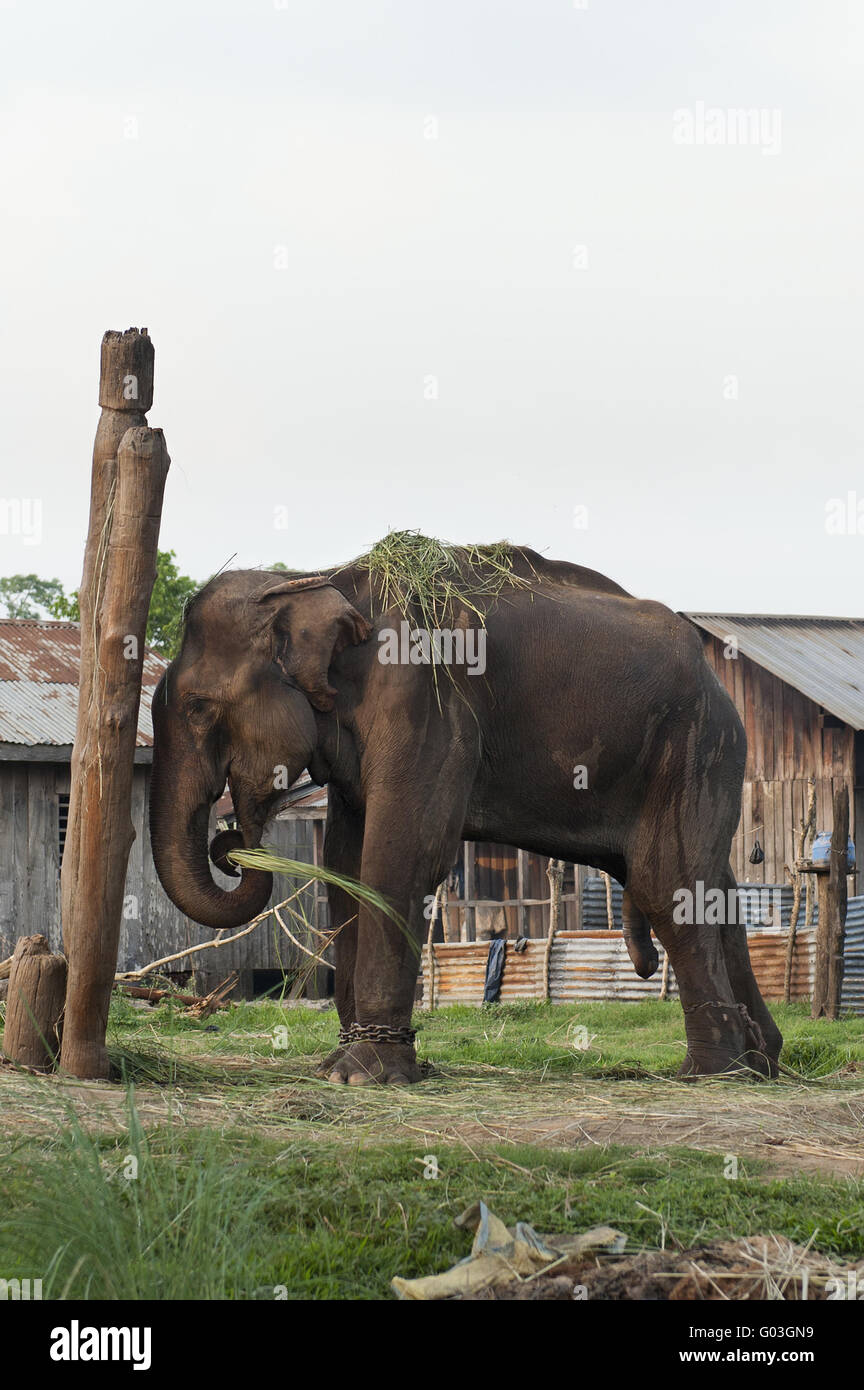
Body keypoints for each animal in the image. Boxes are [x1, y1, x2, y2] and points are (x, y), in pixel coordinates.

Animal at [150, 544, 783, 1084]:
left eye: (199, 708)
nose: (232, 846)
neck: (321, 577)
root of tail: (716, 678)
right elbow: (344, 870)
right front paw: (337, 1066)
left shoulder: (424, 699)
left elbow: (400, 857)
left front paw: (365, 1075)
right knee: (713, 885)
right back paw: (761, 1060)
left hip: (695, 744)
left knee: (666, 883)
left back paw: (713, 1072)